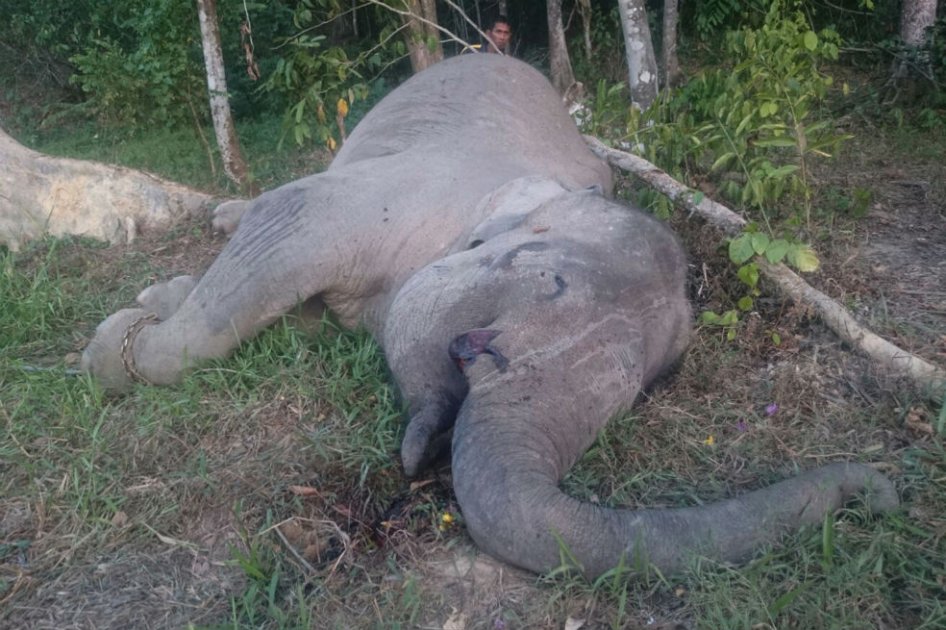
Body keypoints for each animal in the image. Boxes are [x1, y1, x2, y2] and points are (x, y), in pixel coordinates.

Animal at [82, 54, 898, 578]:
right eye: (552, 285)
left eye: (639, 389)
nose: (883, 490)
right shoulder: (386, 200)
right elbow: (291, 225)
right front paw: (113, 346)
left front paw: (151, 305)